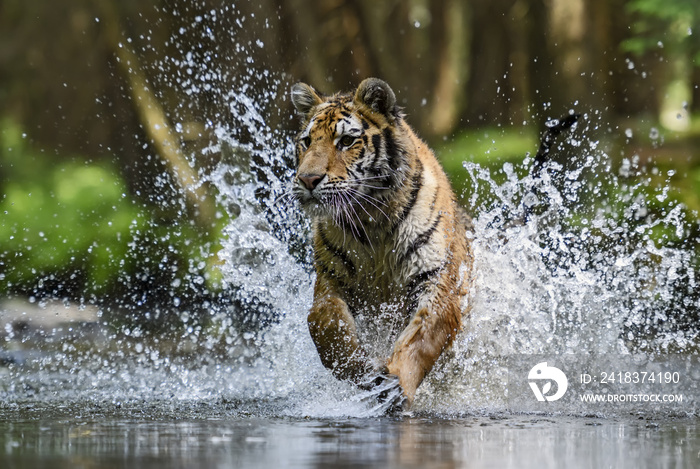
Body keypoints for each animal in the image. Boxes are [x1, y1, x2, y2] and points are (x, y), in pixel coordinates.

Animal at [290, 77, 476, 406]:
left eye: (346, 141)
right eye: (307, 141)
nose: (307, 179)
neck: (371, 220)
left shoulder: (436, 283)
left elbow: (420, 339)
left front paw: (395, 386)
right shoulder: (329, 282)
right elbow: (327, 328)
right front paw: (364, 371)